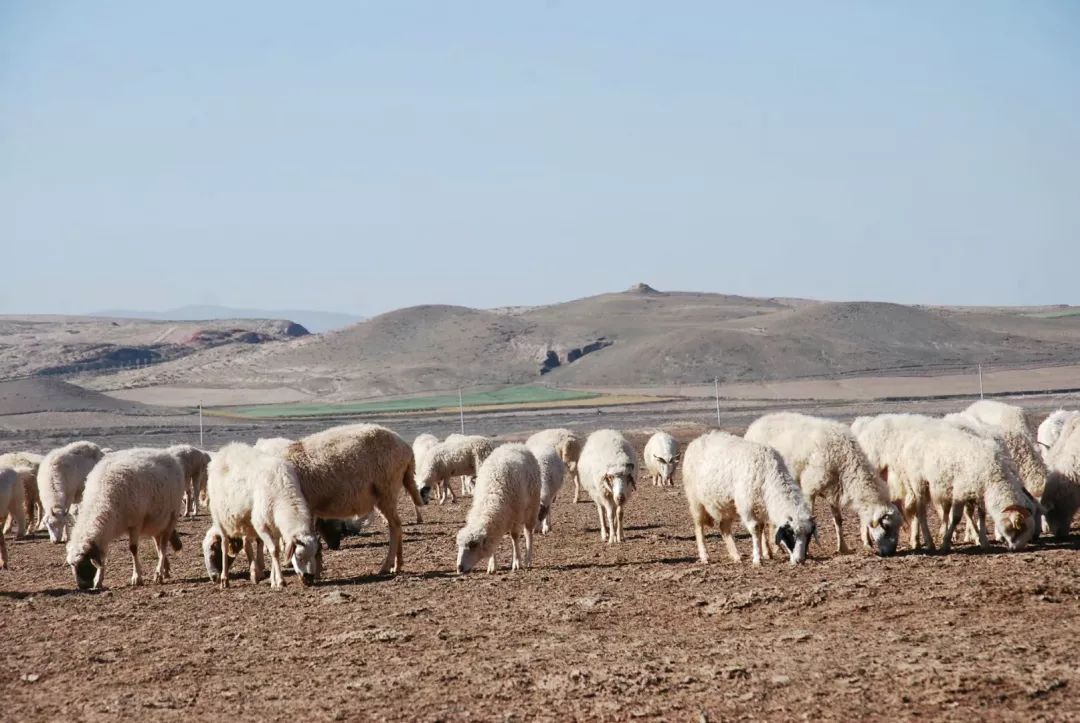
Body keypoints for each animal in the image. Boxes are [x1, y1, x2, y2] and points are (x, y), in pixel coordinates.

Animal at [63, 447, 185, 587]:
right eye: (72, 565)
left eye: (84, 563)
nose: (82, 586)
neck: (102, 499)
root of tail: (166, 454)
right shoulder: (107, 530)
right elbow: (103, 555)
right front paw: (98, 580)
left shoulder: (136, 523)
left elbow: (133, 549)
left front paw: (137, 577)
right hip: (156, 520)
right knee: (158, 544)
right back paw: (165, 569)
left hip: (171, 516)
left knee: (163, 546)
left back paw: (159, 573)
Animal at [203, 440, 317, 587]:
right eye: (299, 556)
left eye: (315, 554)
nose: (309, 580)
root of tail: (227, 448)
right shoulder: (261, 525)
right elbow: (273, 551)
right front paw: (280, 581)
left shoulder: (275, 526)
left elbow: (275, 549)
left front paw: (273, 581)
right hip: (220, 518)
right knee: (224, 544)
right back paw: (225, 579)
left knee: (246, 545)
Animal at [285, 423, 423, 574]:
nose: (335, 545)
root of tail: (407, 449)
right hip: (386, 493)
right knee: (396, 525)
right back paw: (397, 565)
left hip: (387, 489)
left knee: (395, 526)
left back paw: (386, 566)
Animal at [678, 427, 812, 561]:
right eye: (791, 534)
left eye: (808, 537)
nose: (800, 560)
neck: (767, 471)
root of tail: (697, 440)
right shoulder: (745, 505)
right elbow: (755, 527)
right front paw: (757, 558)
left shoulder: (761, 505)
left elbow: (761, 527)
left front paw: (766, 553)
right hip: (695, 501)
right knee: (699, 527)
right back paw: (704, 555)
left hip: (726, 504)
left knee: (724, 527)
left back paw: (736, 555)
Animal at [743, 410, 902, 557]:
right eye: (886, 526)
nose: (891, 553)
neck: (845, 460)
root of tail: (755, 424)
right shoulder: (809, 489)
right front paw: (806, 550)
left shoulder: (834, 491)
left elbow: (838, 520)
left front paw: (843, 548)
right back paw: (767, 552)